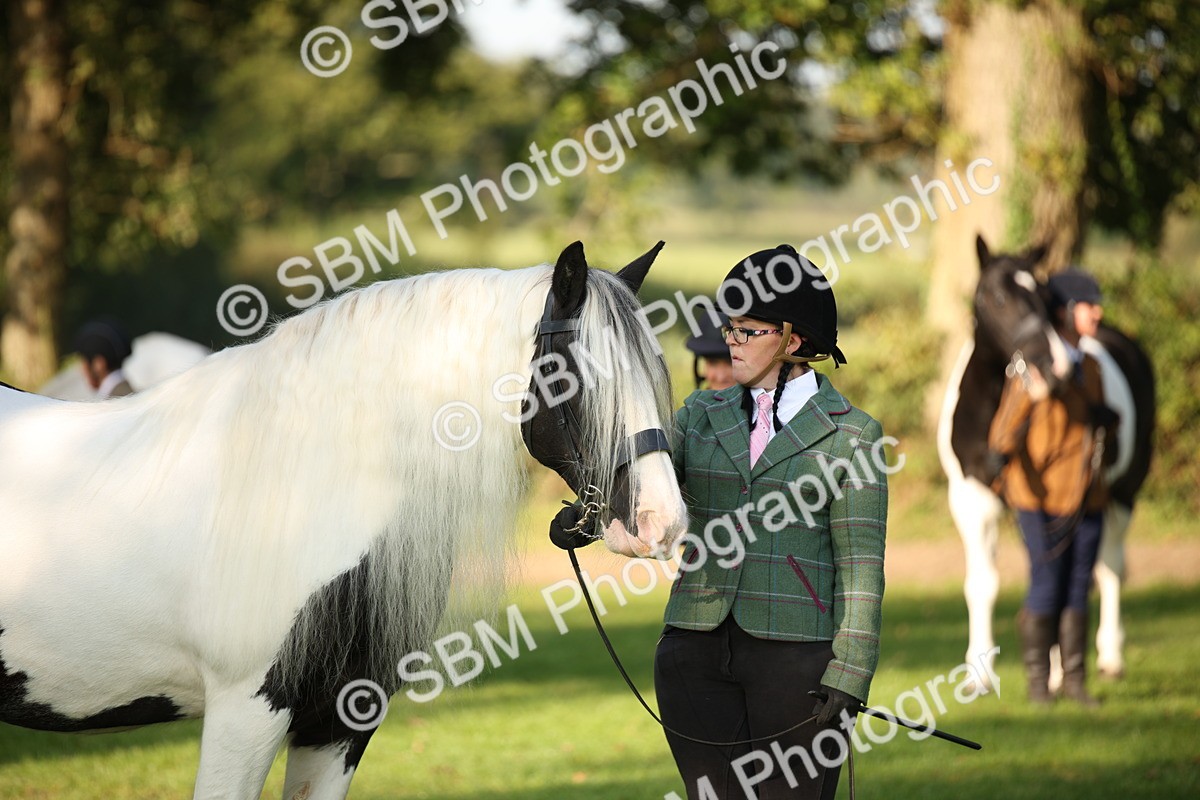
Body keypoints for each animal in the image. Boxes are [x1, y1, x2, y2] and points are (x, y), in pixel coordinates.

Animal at [937, 235, 1155, 686]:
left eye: (1042, 297)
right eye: (998, 297)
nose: (1052, 365)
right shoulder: (971, 499)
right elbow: (983, 583)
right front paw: (979, 674)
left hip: (1123, 492)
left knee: (1109, 568)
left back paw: (1107, 657)